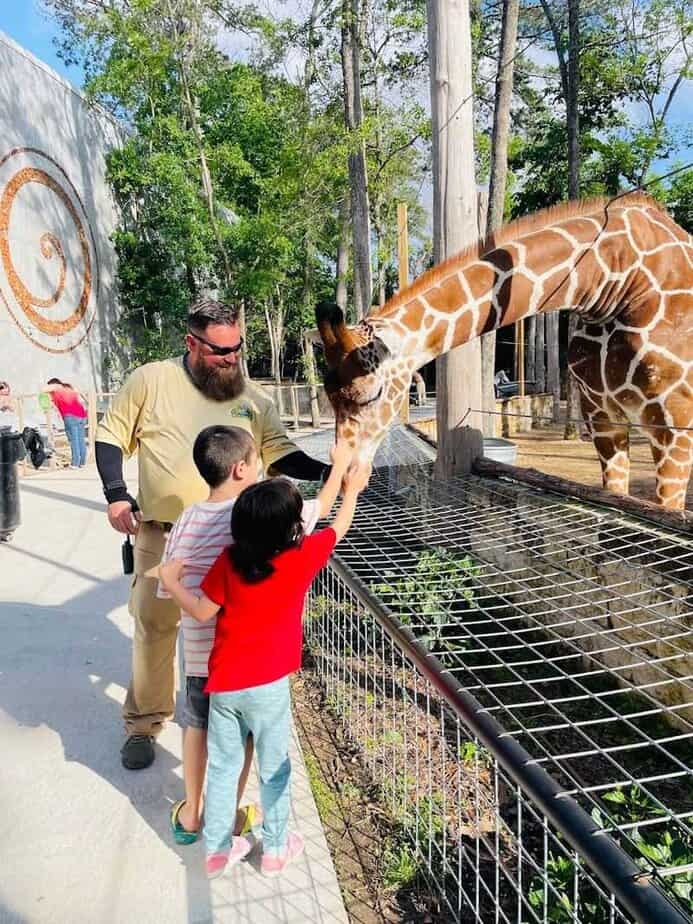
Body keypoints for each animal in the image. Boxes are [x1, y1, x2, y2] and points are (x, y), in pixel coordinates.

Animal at [316, 193, 693, 510]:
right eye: (328, 397)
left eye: (372, 393)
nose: (343, 476)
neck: (613, 282)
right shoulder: (602, 418)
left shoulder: (675, 423)